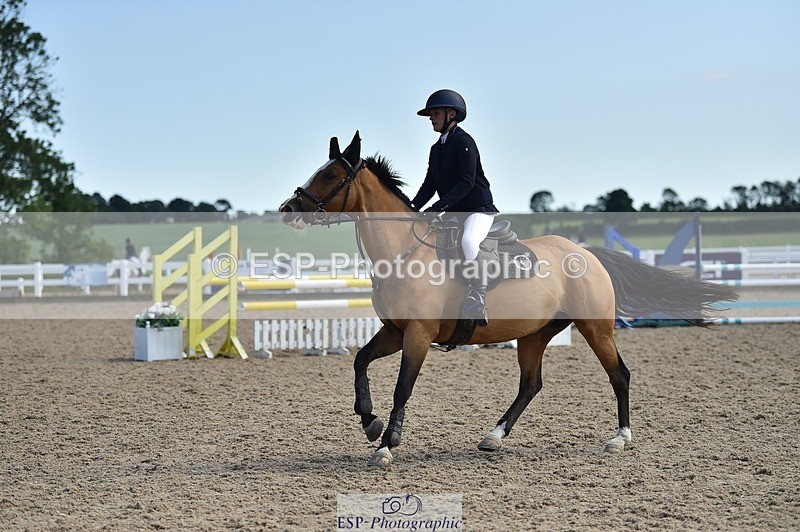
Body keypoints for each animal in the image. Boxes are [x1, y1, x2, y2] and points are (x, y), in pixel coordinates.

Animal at [279, 131, 738, 467]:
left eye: (329, 175)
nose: (287, 208)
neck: (403, 252)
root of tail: (586, 254)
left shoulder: (418, 335)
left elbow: (402, 389)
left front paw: (386, 444)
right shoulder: (395, 332)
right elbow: (359, 362)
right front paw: (370, 423)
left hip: (595, 328)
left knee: (619, 375)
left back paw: (619, 439)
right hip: (534, 335)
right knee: (531, 384)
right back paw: (493, 436)